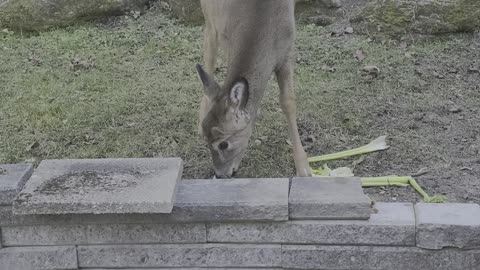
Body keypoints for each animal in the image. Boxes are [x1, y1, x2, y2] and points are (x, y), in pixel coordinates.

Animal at [194, 0, 312, 178]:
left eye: (223, 144)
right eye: (206, 140)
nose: (220, 174)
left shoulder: (287, 51)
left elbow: (288, 102)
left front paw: (303, 166)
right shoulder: (223, 34)